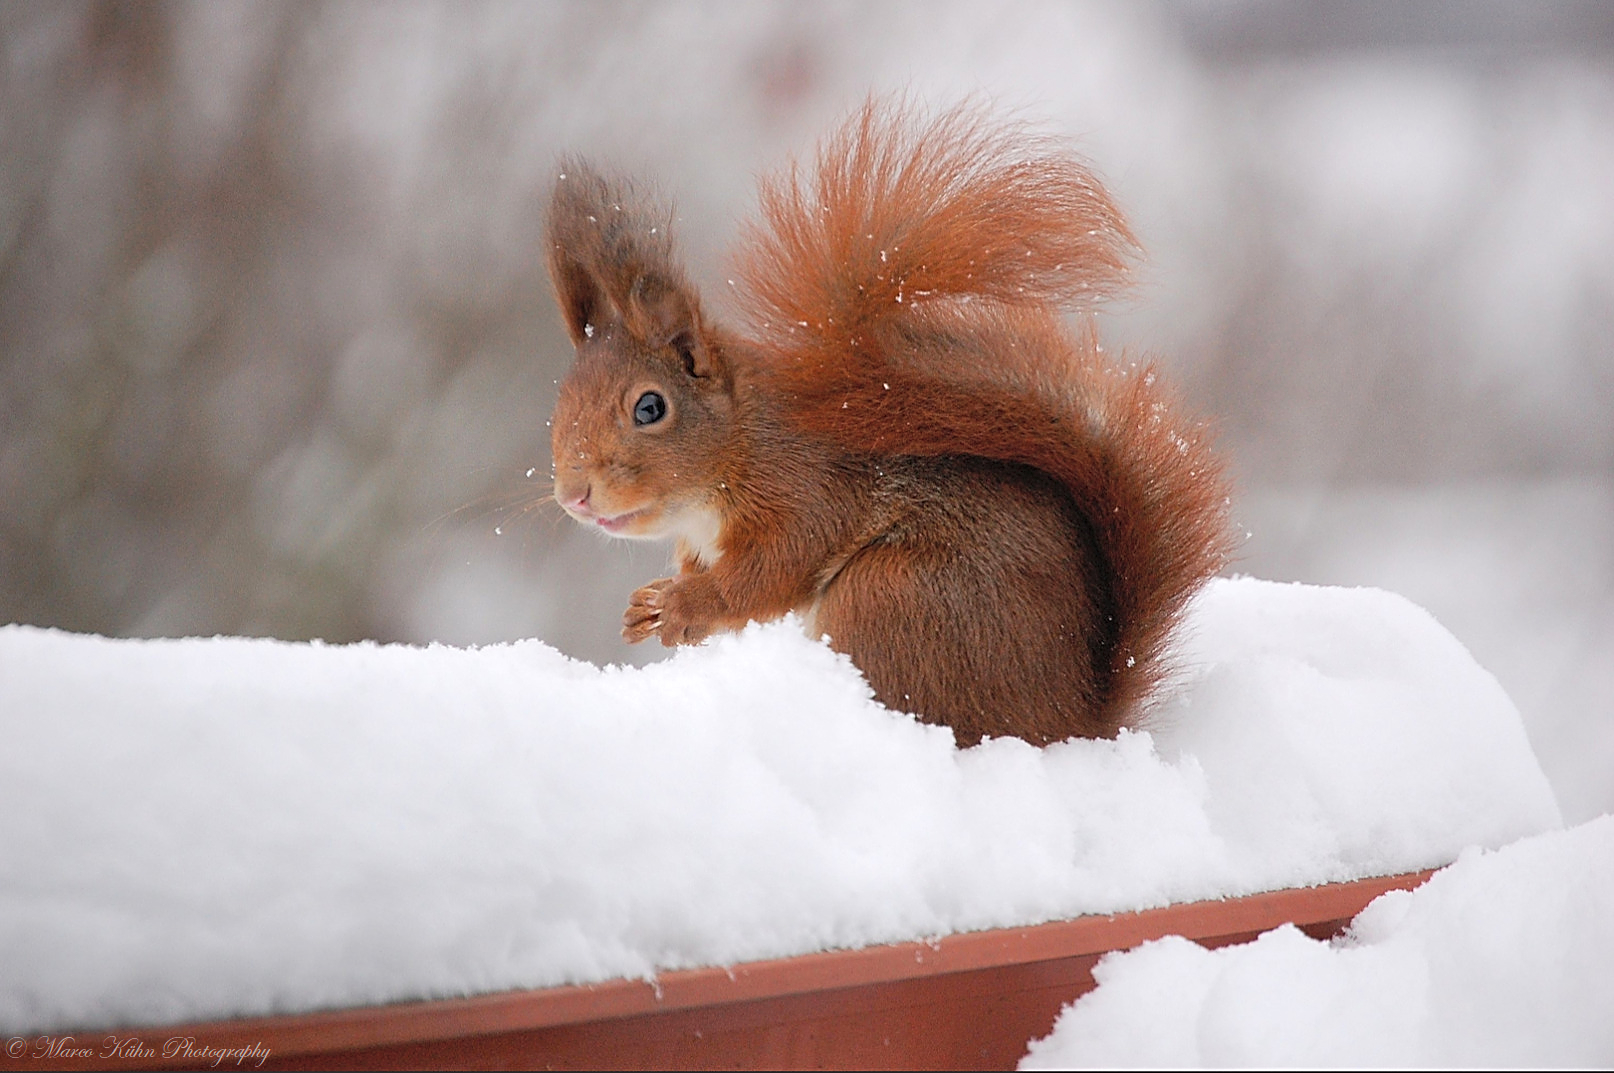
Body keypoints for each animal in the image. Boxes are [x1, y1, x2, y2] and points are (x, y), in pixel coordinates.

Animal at [545, 100, 1233, 745]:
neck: (738, 441)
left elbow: (771, 570)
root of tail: (1075, 720)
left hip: (889, 597)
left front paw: (682, 606)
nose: (573, 494)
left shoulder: (806, 484)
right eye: (561, 405)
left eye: (650, 408)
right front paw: (648, 611)